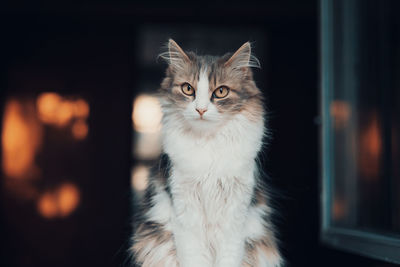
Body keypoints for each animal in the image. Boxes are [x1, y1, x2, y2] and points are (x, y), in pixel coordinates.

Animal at [130, 39, 282, 267]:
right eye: (187, 88)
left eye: (221, 92)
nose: (200, 110)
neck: (207, 142)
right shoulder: (184, 209)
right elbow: (193, 257)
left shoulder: (235, 213)